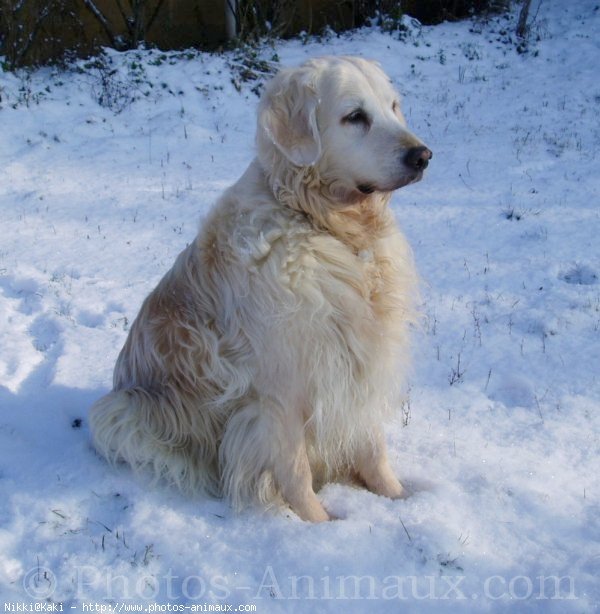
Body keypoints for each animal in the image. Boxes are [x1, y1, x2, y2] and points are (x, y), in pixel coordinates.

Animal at [89, 55, 432, 524]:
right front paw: (318, 525)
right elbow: (295, 470)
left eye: (394, 107)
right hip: (122, 412)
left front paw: (401, 500)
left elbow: (372, 448)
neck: (324, 227)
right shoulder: (279, 391)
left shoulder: (359, 362)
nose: (423, 156)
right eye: (354, 117)